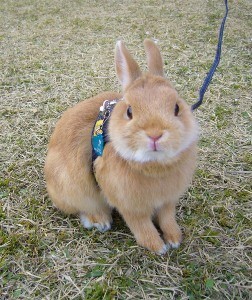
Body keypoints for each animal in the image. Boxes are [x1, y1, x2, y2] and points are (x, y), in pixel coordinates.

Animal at [45, 38, 199, 254]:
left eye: (177, 107)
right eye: (129, 111)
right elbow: (141, 225)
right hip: (74, 188)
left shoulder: (167, 201)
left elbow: (167, 218)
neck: (154, 166)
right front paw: (157, 247)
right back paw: (100, 221)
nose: (155, 134)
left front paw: (174, 239)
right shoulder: (130, 206)